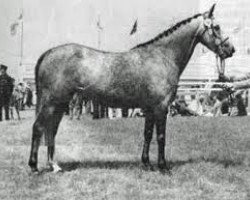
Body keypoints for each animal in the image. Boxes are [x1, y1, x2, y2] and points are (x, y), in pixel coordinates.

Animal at [28, 4, 234, 173]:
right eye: (217, 27)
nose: (231, 50)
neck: (162, 56)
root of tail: (48, 53)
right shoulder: (161, 107)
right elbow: (161, 136)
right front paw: (163, 166)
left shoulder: (150, 109)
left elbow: (148, 134)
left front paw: (147, 164)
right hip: (51, 102)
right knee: (38, 127)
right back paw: (34, 167)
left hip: (60, 103)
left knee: (51, 130)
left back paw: (54, 165)